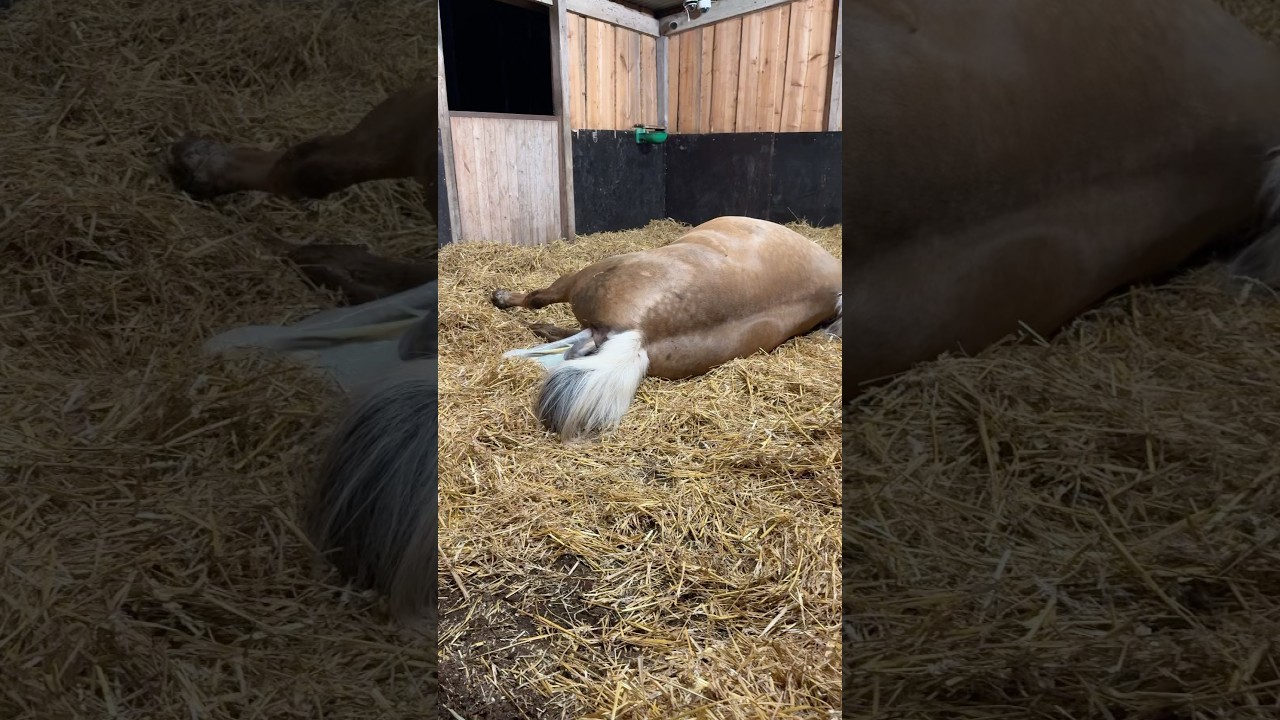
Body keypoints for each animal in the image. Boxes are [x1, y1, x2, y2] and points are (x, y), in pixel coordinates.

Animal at [491, 216, 843, 441]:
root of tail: (641, 333)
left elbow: (538, 298)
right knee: (571, 342)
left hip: (583, 279)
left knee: (541, 301)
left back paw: (504, 301)